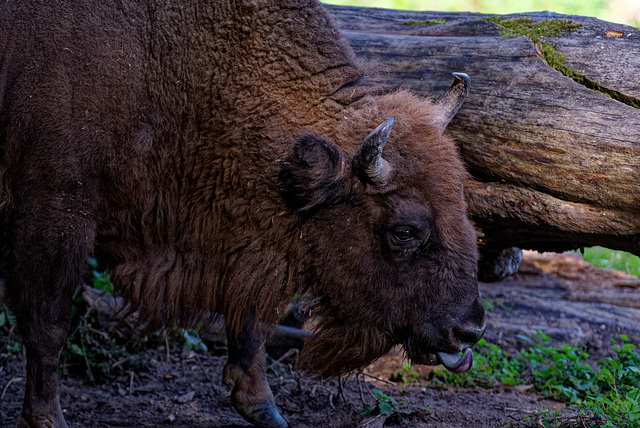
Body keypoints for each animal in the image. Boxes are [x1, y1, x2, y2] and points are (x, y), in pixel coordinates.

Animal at [0, 0, 484, 426]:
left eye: (463, 207)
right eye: (405, 230)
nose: (469, 331)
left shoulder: (247, 243)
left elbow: (251, 318)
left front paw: (263, 408)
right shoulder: (55, 211)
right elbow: (47, 325)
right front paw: (45, 419)